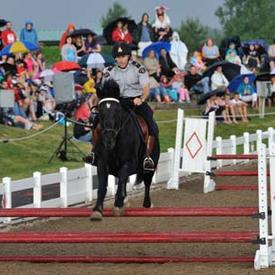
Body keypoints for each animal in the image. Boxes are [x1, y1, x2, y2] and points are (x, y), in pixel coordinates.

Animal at [91, 79, 160, 220]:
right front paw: (97, 210)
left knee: (147, 182)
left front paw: (118, 205)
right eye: (100, 110)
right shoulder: (102, 163)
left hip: (151, 164)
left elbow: (123, 177)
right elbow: (102, 186)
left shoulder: (130, 162)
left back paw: (147, 204)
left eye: (117, 110)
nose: (108, 139)